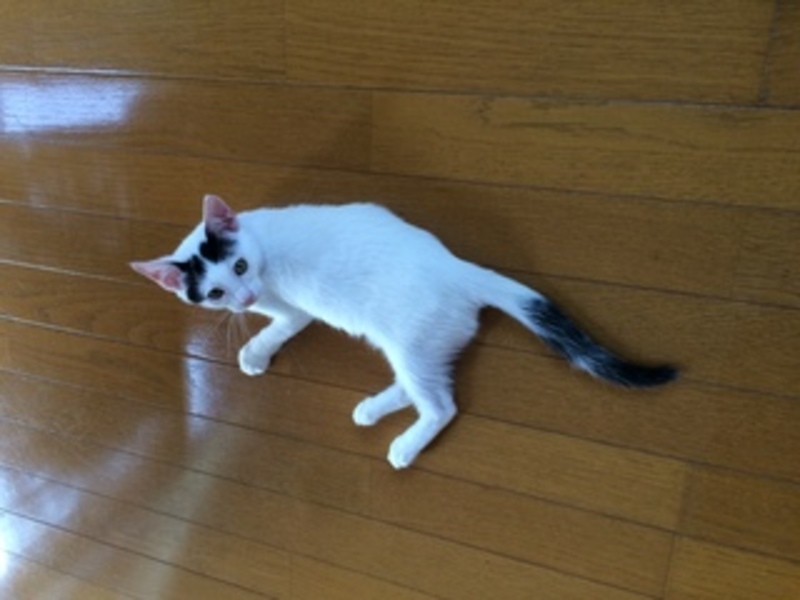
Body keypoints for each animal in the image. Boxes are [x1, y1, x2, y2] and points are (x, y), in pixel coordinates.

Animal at [131, 194, 677, 469]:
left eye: (241, 266)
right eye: (214, 292)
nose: (243, 298)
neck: (262, 243)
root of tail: (457, 269)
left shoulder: (291, 310)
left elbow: (278, 327)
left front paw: (254, 353)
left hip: (411, 341)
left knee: (441, 405)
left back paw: (405, 445)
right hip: (414, 346)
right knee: (421, 386)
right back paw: (373, 409)